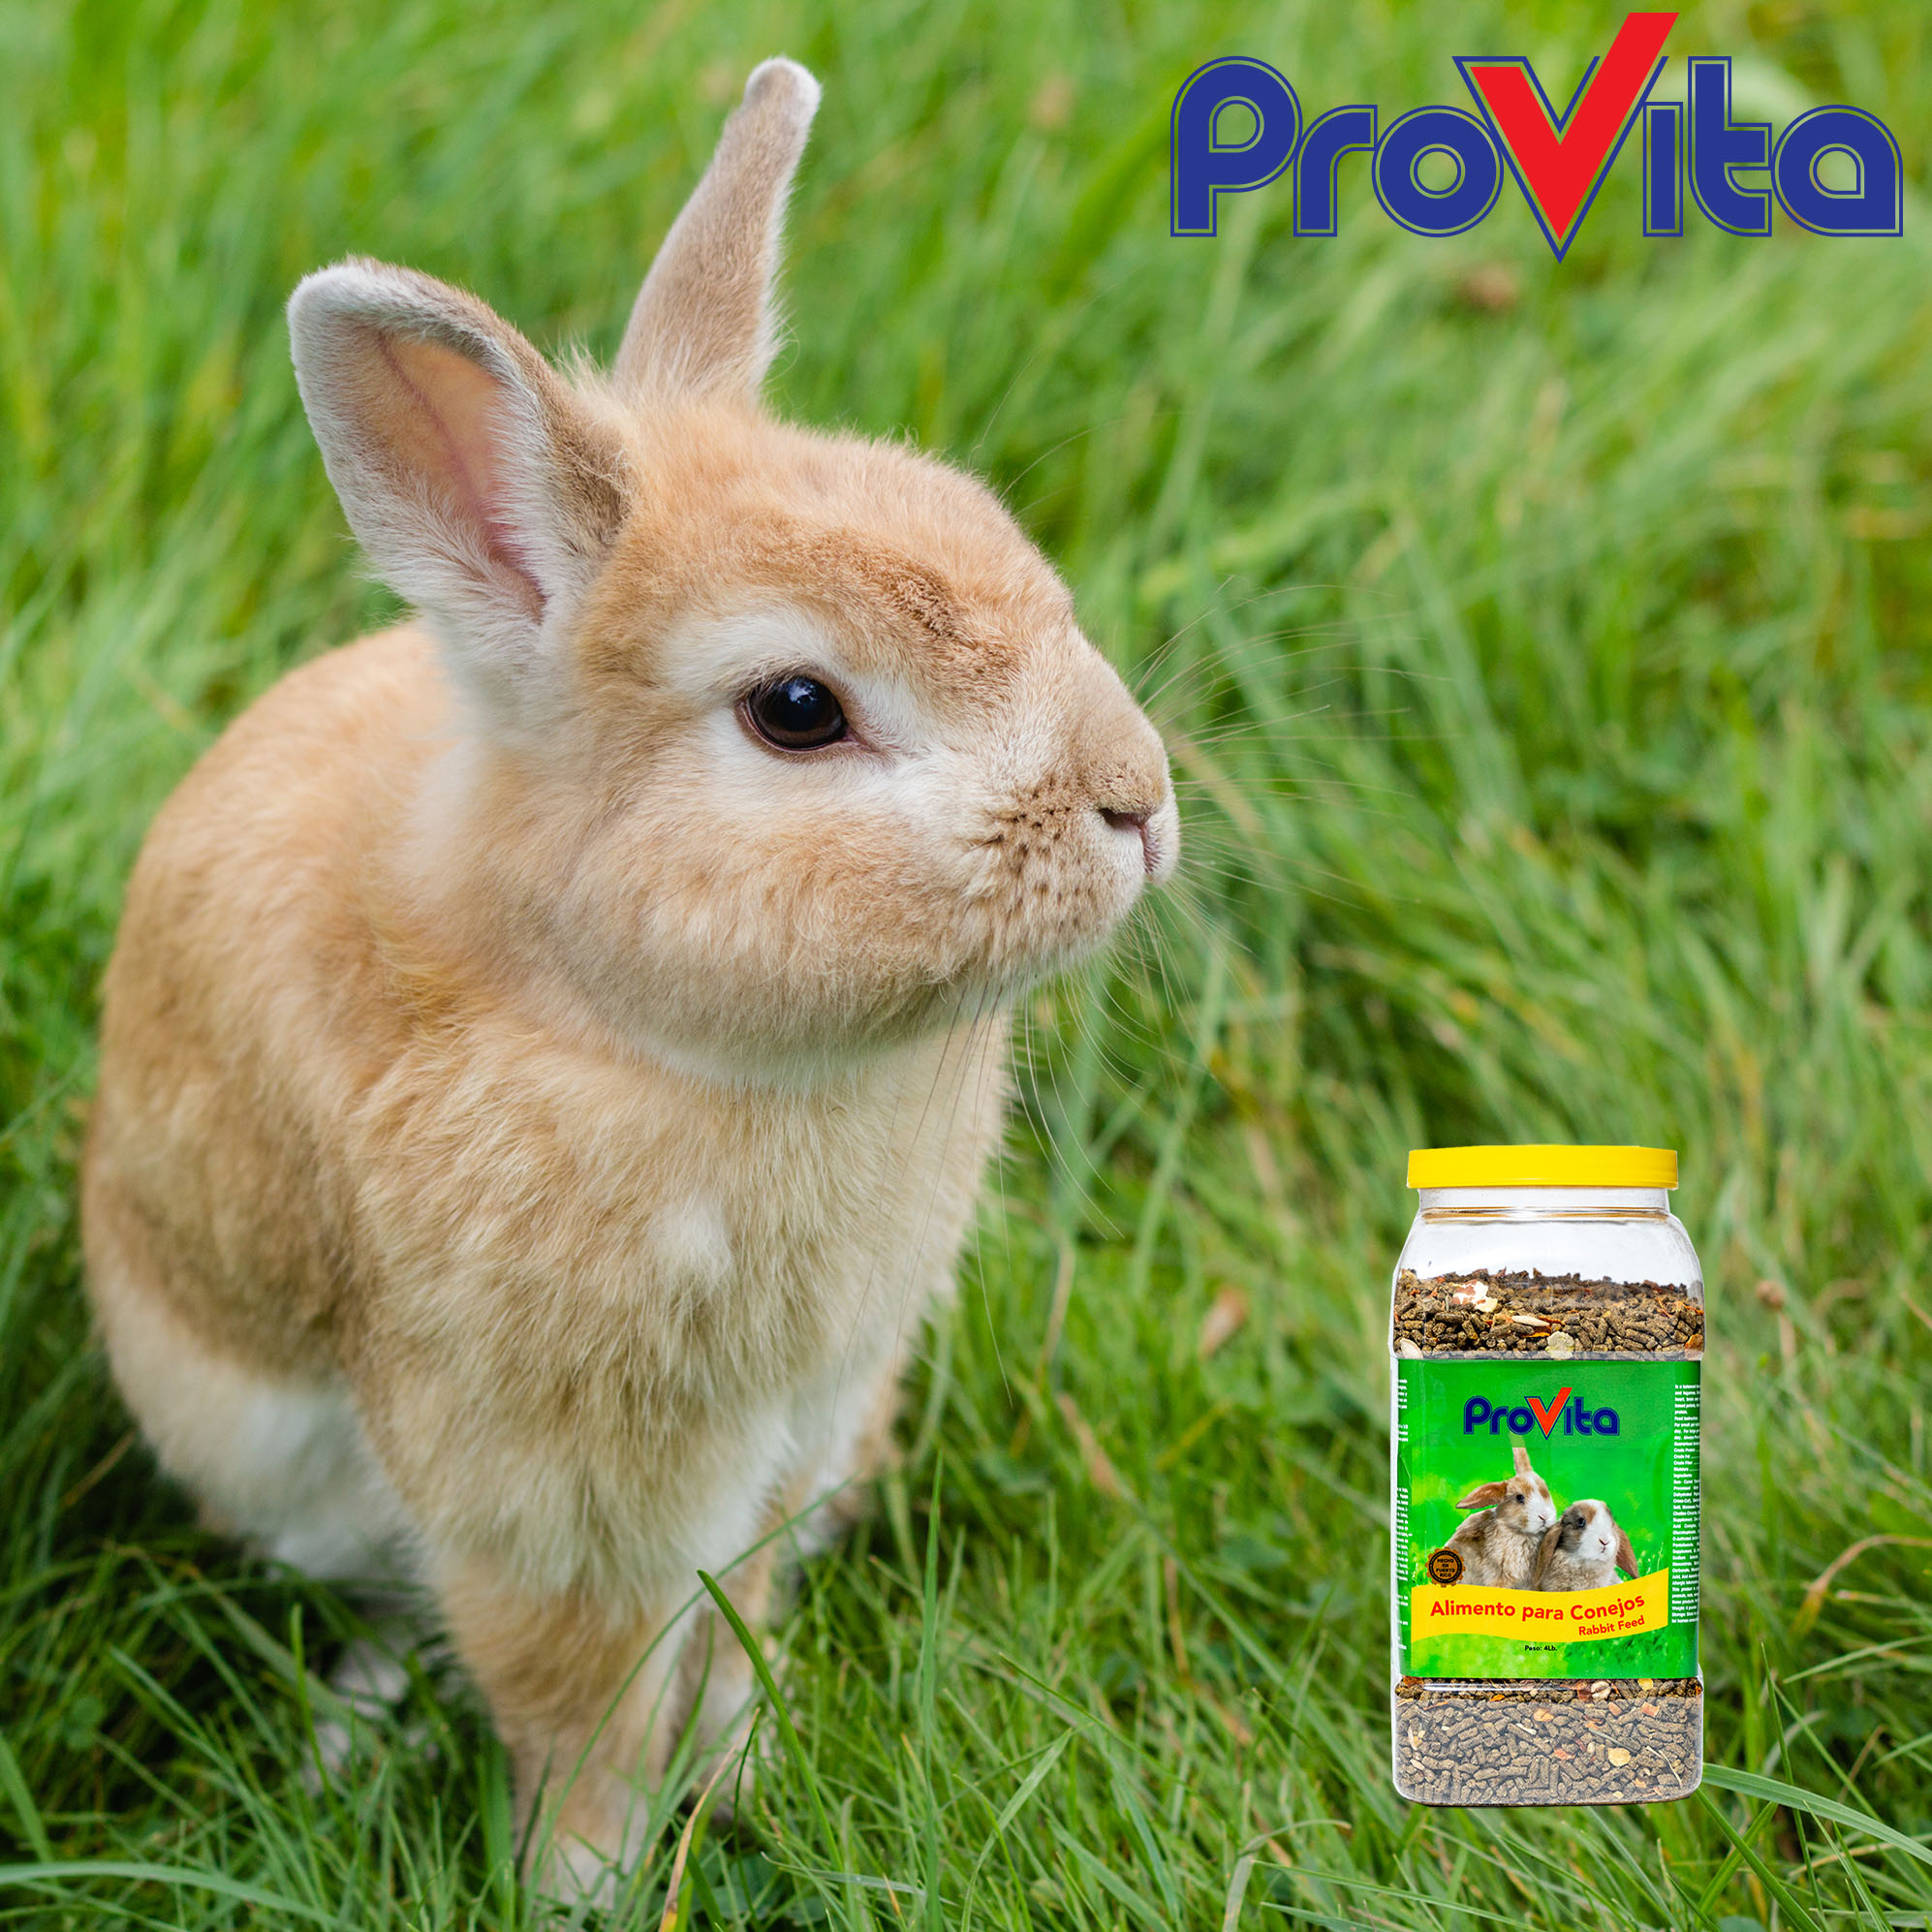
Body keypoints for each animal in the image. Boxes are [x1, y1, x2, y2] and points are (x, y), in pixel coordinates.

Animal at [79, 57, 1176, 1899]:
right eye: (796, 708)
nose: (1137, 800)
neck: (620, 1021)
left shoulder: (787, 1439)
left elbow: (732, 1632)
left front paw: (743, 1776)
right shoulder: (546, 1505)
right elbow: (578, 1713)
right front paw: (584, 1887)